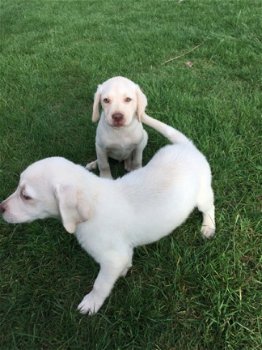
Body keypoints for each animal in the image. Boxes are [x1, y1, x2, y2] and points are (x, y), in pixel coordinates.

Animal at [0, 116, 215, 316]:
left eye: (26, 196)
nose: (1, 208)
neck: (93, 204)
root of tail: (186, 146)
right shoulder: (122, 251)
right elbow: (126, 260)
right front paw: (125, 270)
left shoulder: (112, 258)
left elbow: (100, 284)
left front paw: (91, 303)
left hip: (203, 193)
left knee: (209, 208)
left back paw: (208, 227)